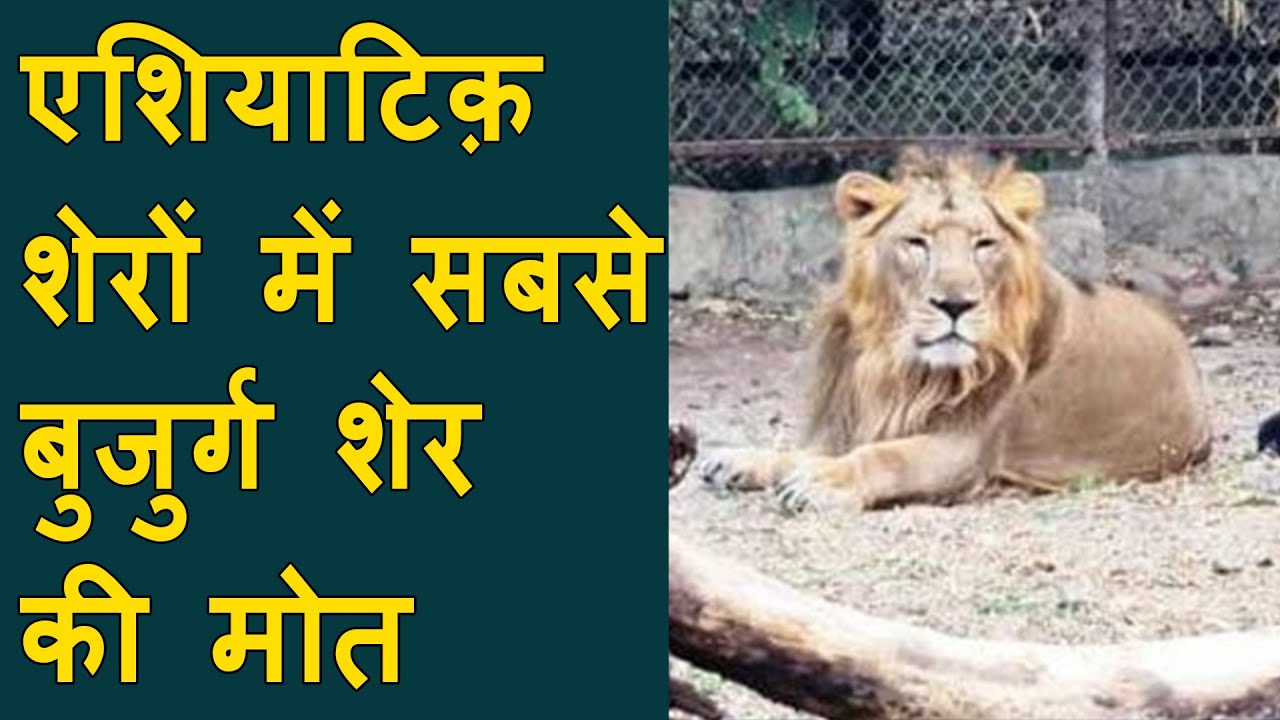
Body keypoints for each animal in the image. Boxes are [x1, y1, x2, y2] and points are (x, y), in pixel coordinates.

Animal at [697, 147, 1212, 513]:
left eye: (984, 244)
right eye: (917, 242)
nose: (955, 304)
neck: (895, 360)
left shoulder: (964, 447)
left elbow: (881, 457)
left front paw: (824, 483)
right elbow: (805, 450)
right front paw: (741, 460)